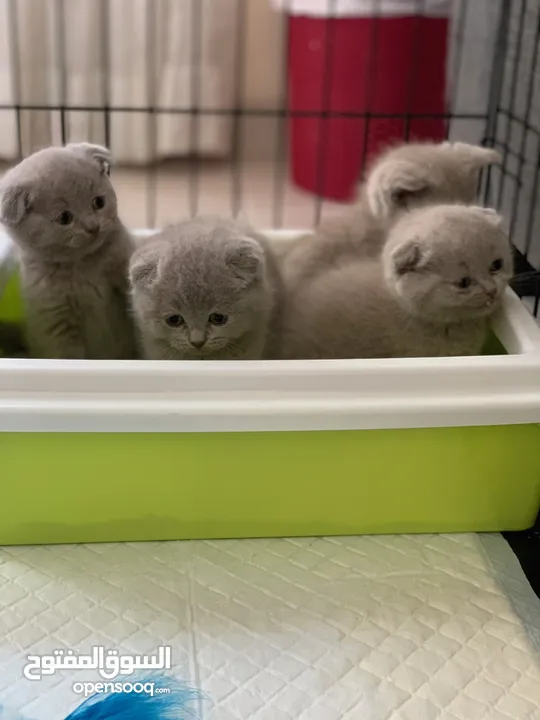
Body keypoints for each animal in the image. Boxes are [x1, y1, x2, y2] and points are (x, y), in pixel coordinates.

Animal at [0, 143, 138, 360]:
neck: (83, 265)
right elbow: (66, 354)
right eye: (64, 218)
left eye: (99, 202)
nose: (93, 227)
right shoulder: (56, 322)